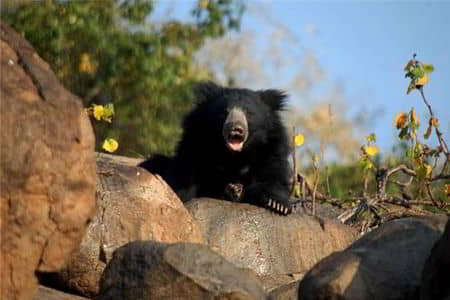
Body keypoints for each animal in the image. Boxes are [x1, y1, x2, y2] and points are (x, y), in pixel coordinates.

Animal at [142, 81, 296, 214]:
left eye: (248, 113)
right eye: (224, 112)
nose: (236, 129)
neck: (234, 156)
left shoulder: (270, 150)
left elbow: (272, 175)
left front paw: (277, 204)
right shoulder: (193, 145)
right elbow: (186, 177)